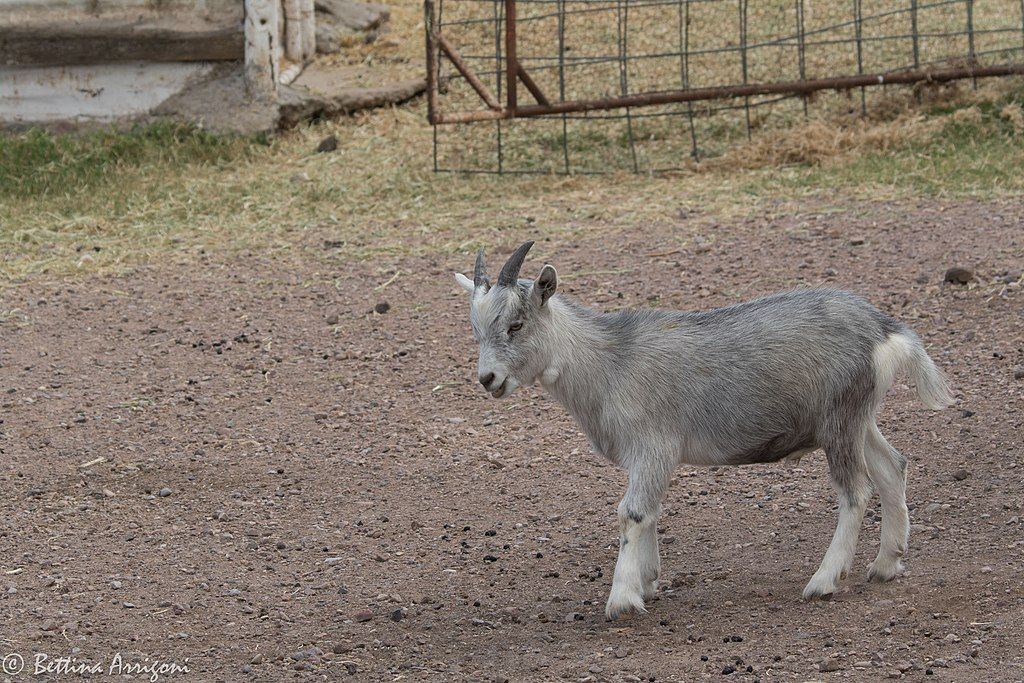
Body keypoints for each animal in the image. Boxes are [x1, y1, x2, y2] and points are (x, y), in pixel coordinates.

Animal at [455, 241, 953, 620]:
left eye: (516, 324)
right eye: (477, 330)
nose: (488, 380)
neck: (609, 361)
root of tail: (882, 329)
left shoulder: (653, 446)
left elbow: (632, 512)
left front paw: (623, 598)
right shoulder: (649, 457)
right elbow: (651, 511)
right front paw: (648, 581)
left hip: (840, 420)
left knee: (856, 492)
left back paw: (824, 580)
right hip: (857, 419)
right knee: (893, 467)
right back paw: (886, 564)